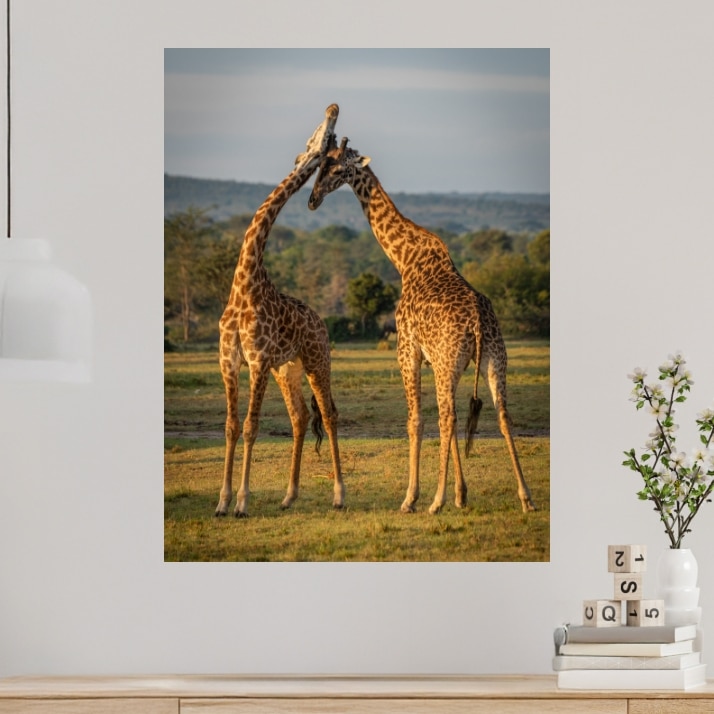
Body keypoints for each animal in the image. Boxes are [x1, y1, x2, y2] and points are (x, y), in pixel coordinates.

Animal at [215, 104, 344, 518]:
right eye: (318, 136)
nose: (333, 109)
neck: (245, 283)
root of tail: (320, 320)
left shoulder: (256, 361)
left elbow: (251, 426)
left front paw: (242, 501)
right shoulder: (229, 360)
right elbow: (231, 426)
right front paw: (222, 501)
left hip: (317, 359)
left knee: (329, 415)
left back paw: (339, 494)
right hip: (287, 368)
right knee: (300, 417)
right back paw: (290, 495)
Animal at [308, 135, 536, 515]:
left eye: (339, 169)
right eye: (319, 166)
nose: (312, 200)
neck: (404, 259)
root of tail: (478, 321)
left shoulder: (408, 350)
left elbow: (415, 420)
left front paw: (412, 497)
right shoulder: (435, 360)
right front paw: (461, 494)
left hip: (450, 362)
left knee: (447, 417)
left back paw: (435, 501)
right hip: (493, 359)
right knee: (499, 415)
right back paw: (526, 497)